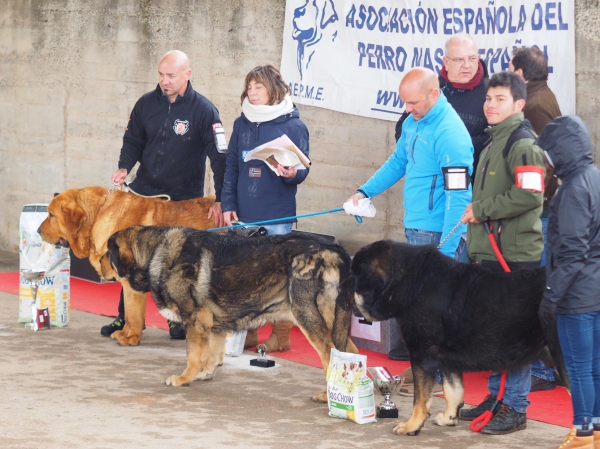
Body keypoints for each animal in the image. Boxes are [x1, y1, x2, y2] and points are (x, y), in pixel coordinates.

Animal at [101, 224, 358, 400]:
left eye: (108, 253)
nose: (97, 262)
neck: (156, 253)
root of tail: (334, 249)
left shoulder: (195, 321)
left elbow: (193, 356)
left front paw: (185, 378)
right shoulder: (212, 325)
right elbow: (213, 355)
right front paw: (205, 374)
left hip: (309, 317)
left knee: (330, 355)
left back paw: (328, 396)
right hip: (335, 322)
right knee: (349, 354)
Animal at [352, 240, 568, 436]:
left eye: (354, 275)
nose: (343, 289)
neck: (411, 282)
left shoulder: (422, 353)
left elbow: (421, 398)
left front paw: (412, 426)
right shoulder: (446, 357)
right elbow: (453, 391)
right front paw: (449, 418)